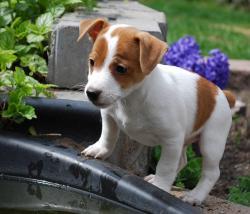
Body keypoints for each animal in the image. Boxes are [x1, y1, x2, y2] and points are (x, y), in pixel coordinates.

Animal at [77, 18, 234, 204]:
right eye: (92, 62)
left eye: (121, 69)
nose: (91, 93)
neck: (131, 99)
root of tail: (222, 93)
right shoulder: (109, 115)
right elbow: (108, 135)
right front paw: (99, 149)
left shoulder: (172, 140)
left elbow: (165, 167)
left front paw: (160, 187)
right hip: (187, 141)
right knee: (182, 161)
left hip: (211, 142)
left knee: (211, 172)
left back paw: (195, 196)